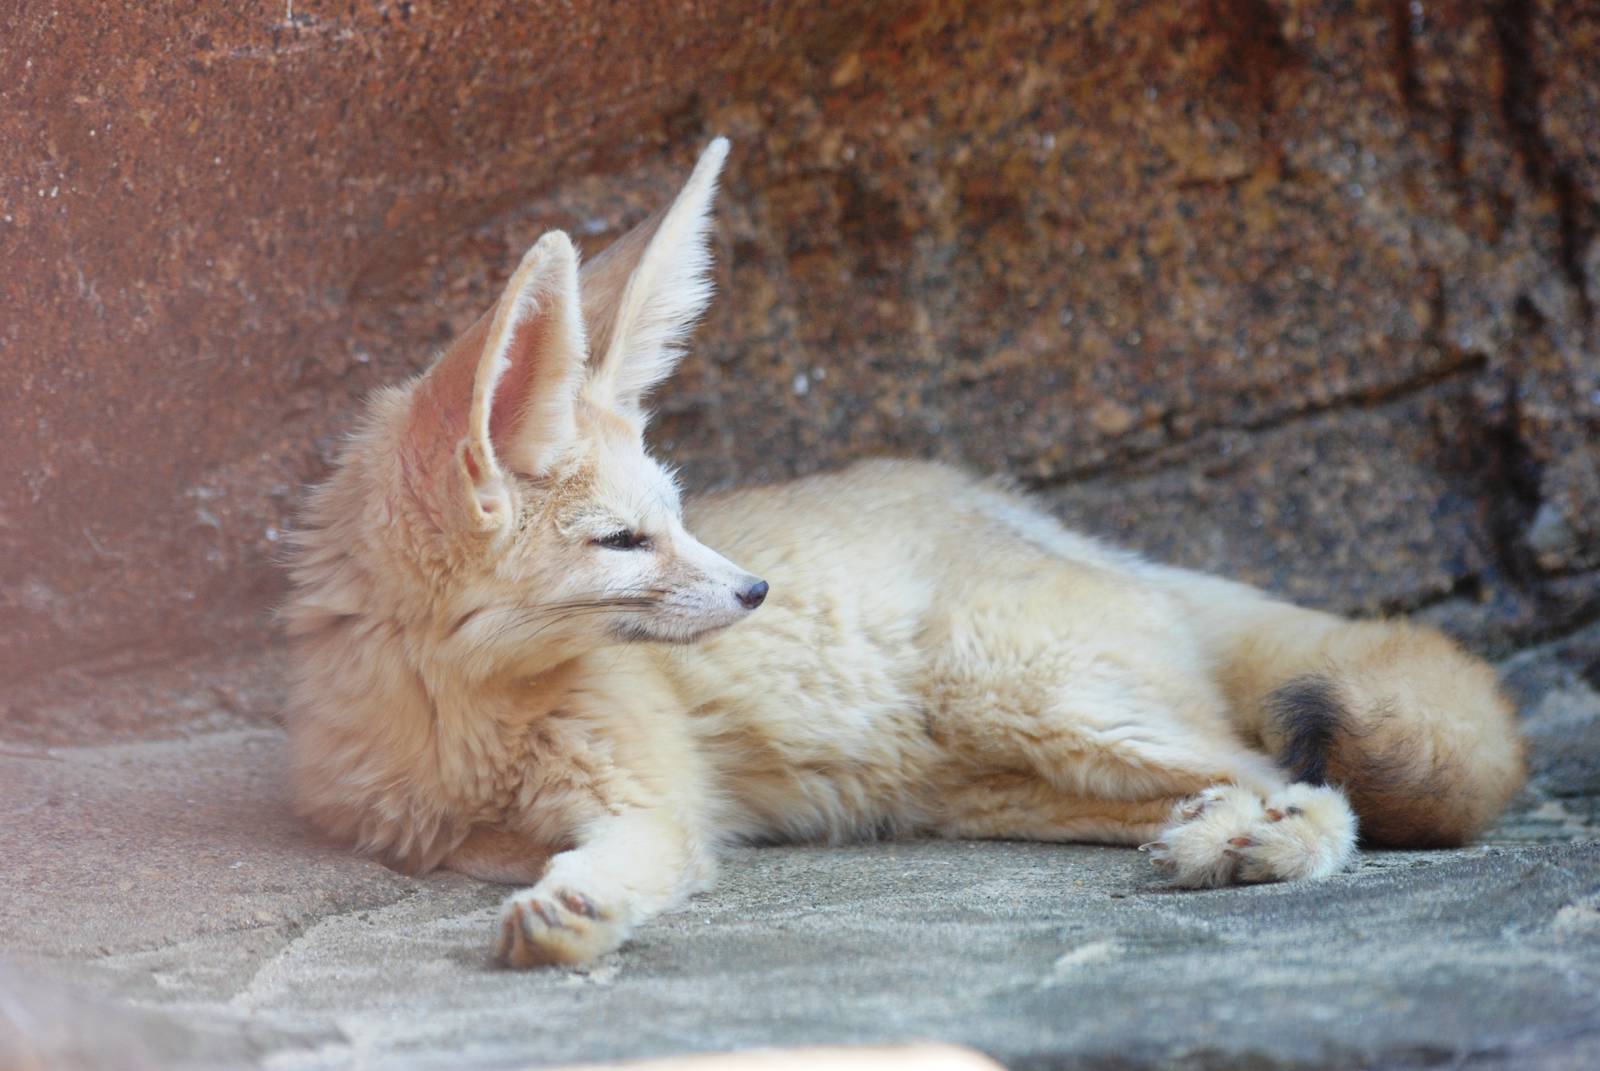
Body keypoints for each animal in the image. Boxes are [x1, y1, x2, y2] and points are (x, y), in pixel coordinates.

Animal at [282, 138, 1526, 968]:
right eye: (627, 540)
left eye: (678, 517)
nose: (757, 589)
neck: (457, 711)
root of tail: (1022, 511)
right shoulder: (417, 826)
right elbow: (490, 848)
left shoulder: (655, 802)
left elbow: (630, 859)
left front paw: (573, 909)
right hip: (997, 787)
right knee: (1234, 777)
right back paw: (1213, 834)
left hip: (1030, 703)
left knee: (1306, 783)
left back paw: (1254, 847)